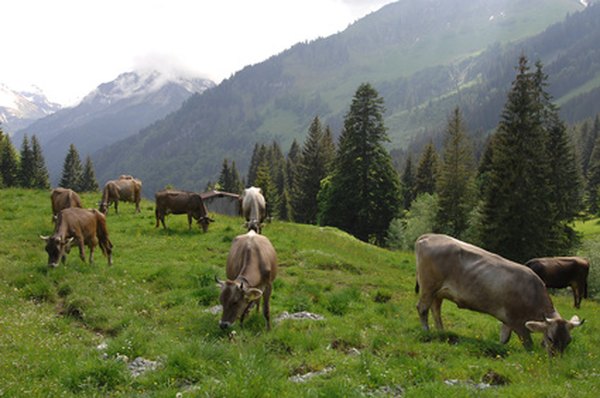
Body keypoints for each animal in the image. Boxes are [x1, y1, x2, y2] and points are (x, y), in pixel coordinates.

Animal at [414, 232, 584, 356]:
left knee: (436, 310)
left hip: (439, 292)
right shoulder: (517, 322)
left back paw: (442, 332)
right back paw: (426, 331)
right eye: (550, 338)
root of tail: (430, 236)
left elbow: (504, 339)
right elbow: (528, 344)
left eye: (568, 340)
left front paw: (497, 348)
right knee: (422, 308)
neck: (532, 295)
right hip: (428, 286)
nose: (556, 358)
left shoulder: (507, 320)